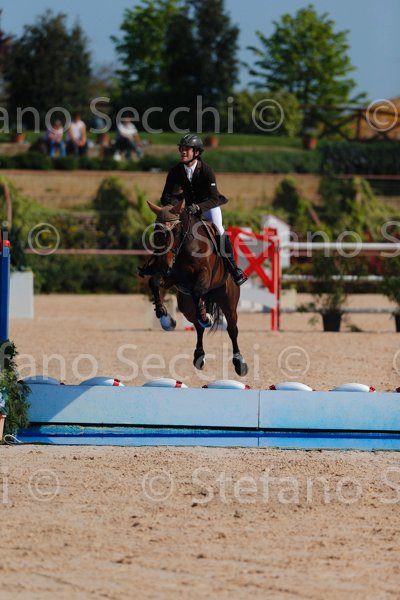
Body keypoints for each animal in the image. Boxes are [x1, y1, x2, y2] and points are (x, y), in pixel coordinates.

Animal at [145, 199, 248, 376]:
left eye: (176, 231)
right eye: (156, 232)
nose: (164, 266)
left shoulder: (204, 274)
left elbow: (197, 290)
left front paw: (206, 317)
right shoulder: (172, 277)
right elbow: (154, 282)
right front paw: (164, 317)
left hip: (228, 301)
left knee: (232, 329)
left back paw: (239, 363)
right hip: (185, 305)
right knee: (198, 325)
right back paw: (199, 355)